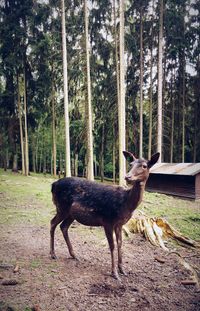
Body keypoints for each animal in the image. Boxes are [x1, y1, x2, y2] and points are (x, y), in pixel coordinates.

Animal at [50, 151, 159, 280]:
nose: (128, 176)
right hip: (61, 207)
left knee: (63, 227)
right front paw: (114, 273)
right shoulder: (107, 221)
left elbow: (120, 244)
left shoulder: (119, 224)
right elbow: (112, 245)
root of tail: (53, 184)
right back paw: (53, 254)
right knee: (52, 223)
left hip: (70, 214)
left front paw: (122, 270)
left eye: (144, 166)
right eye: (131, 164)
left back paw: (74, 255)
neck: (125, 203)